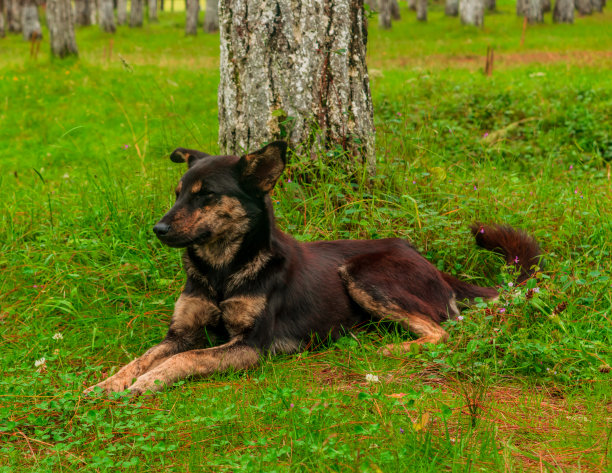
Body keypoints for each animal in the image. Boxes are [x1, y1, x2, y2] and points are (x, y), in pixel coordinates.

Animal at [85, 140, 540, 394]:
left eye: (206, 194)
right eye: (178, 193)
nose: (157, 229)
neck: (222, 270)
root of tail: (431, 264)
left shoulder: (250, 346)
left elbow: (183, 360)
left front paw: (147, 383)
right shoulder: (180, 333)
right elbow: (142, 357)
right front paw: (107, 383)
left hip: (362, 272)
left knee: (441, 330)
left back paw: (391, 348)